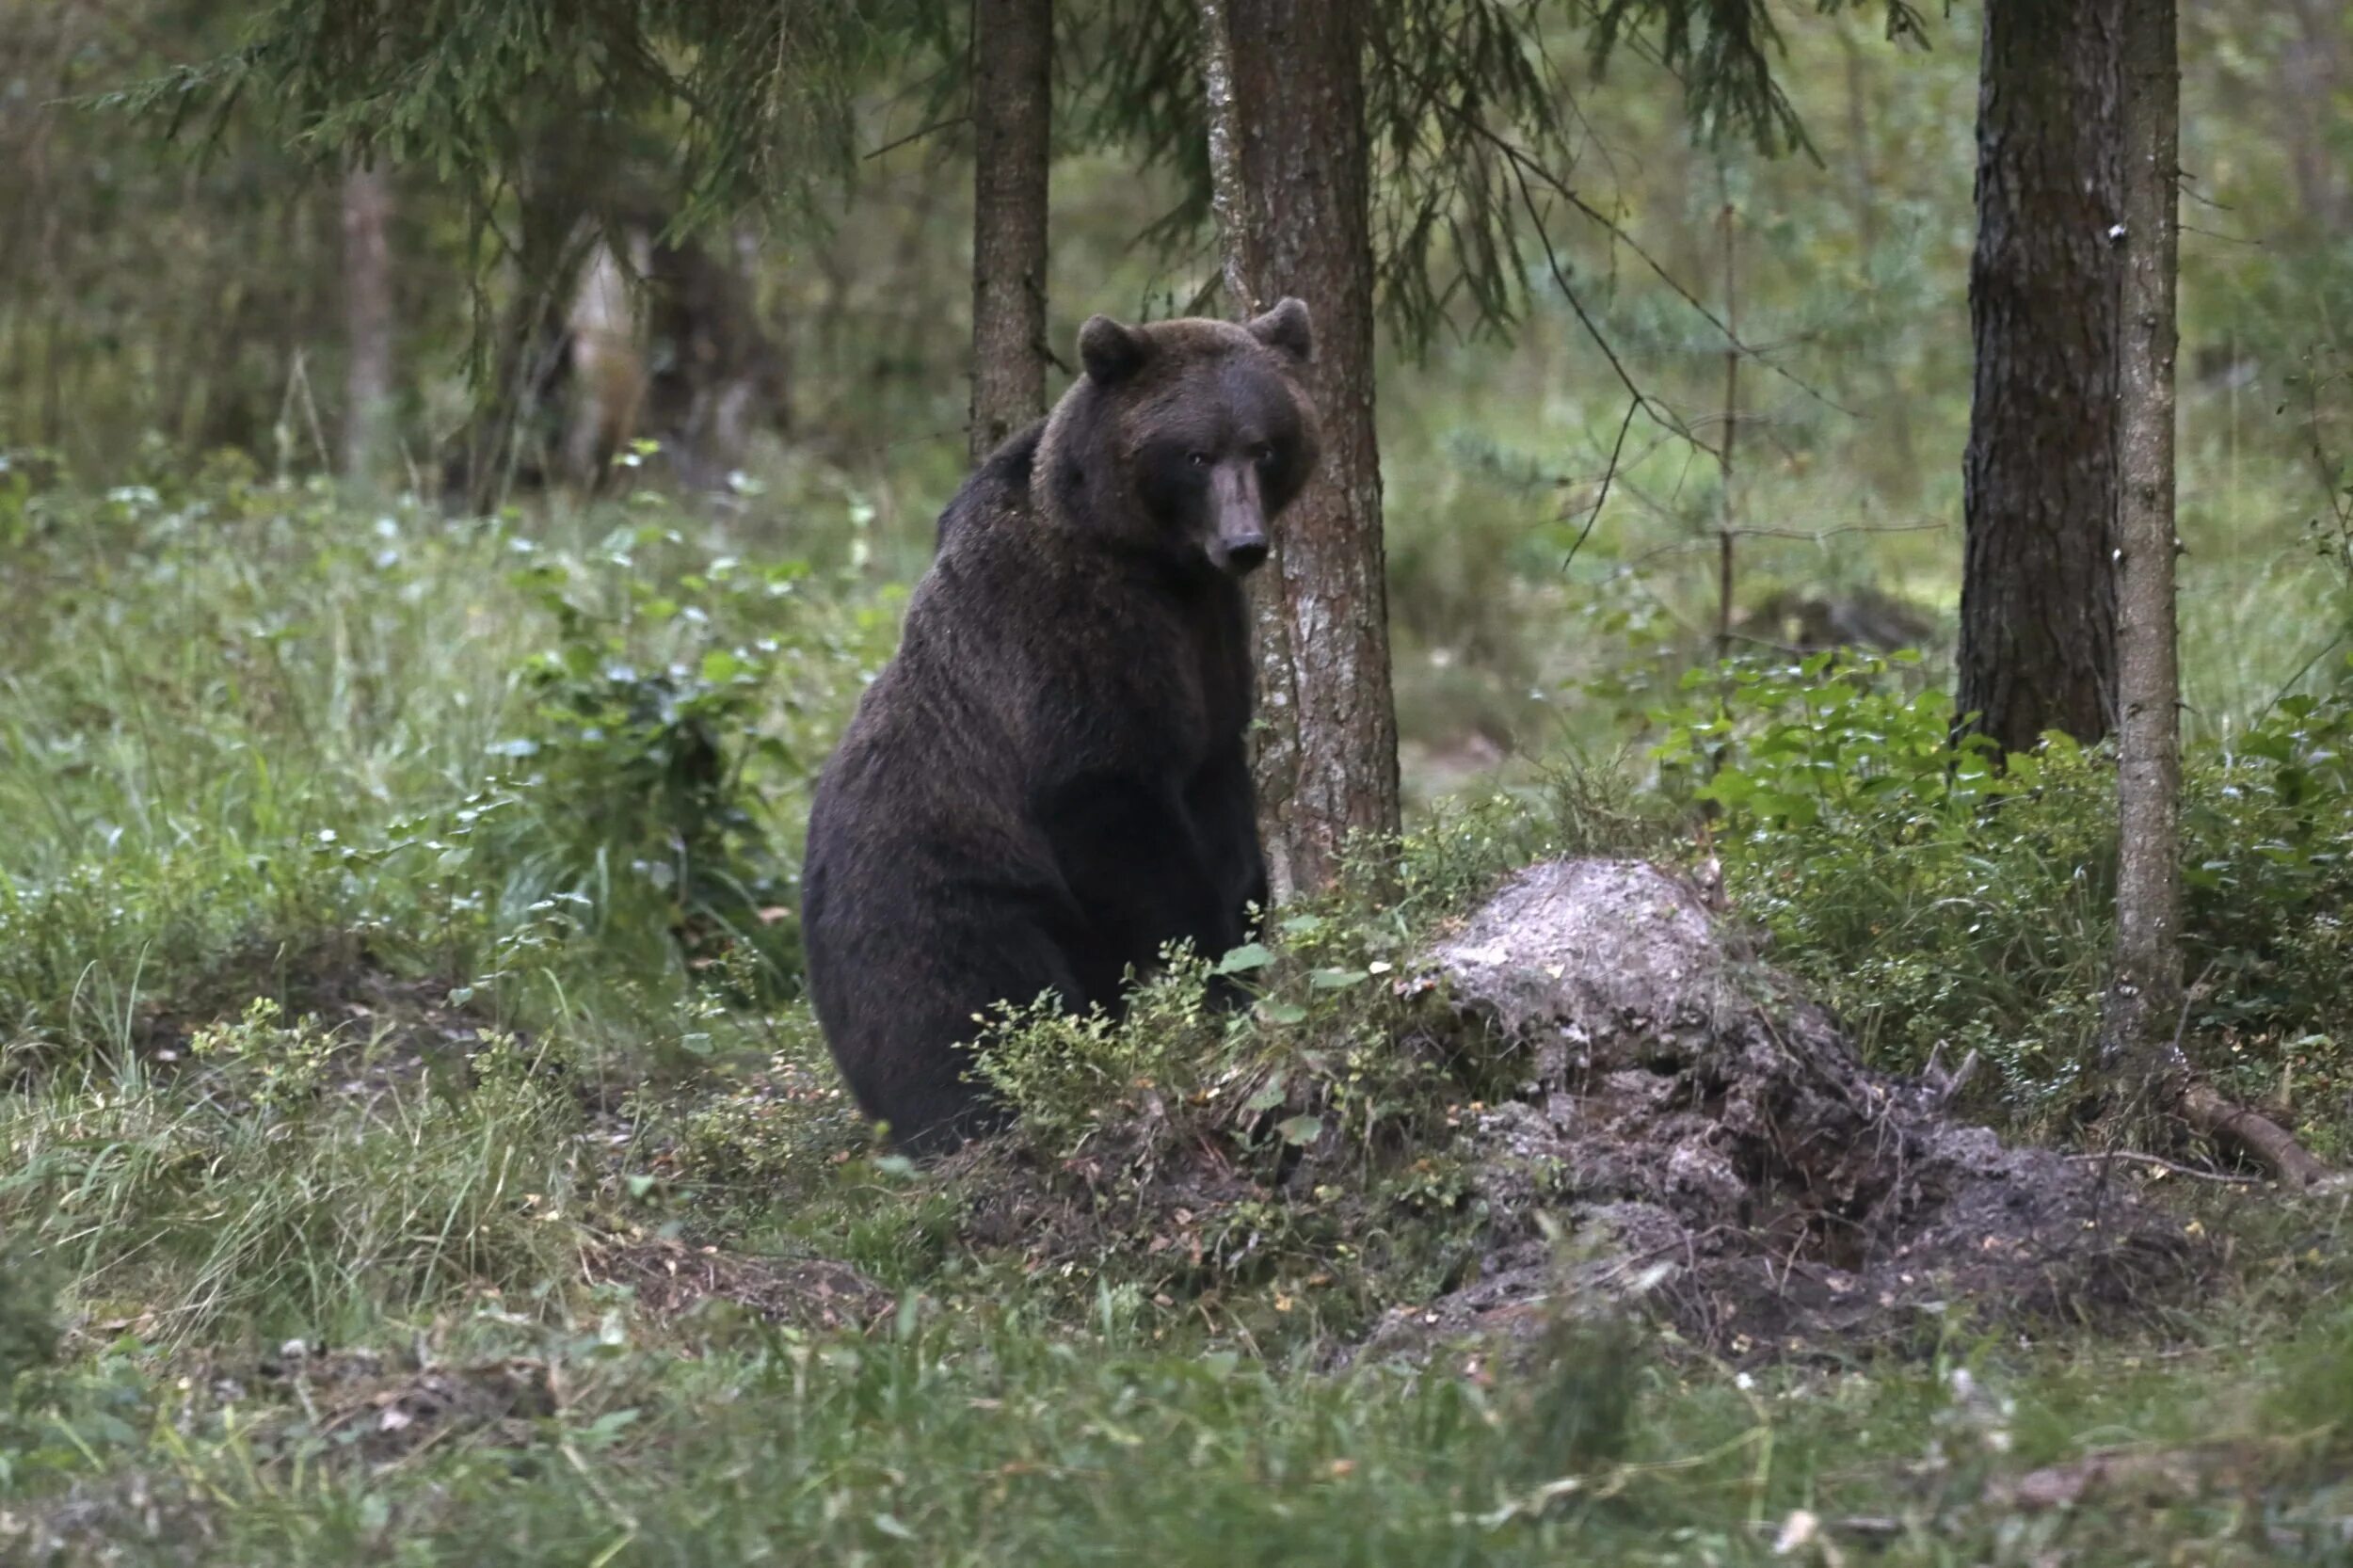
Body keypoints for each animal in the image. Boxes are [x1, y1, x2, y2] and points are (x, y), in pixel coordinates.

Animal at [800, 296, 1327, 1148]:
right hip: (947, 902)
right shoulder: (1066, 633)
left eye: (1266, 446)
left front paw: (1249, 926)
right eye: (1196, 455)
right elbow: (1112, 806)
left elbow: (1219, 785)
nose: (1244, 543)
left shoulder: (1209, 639)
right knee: (966, 1013)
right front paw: (1209, 965)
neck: (1153, 560)